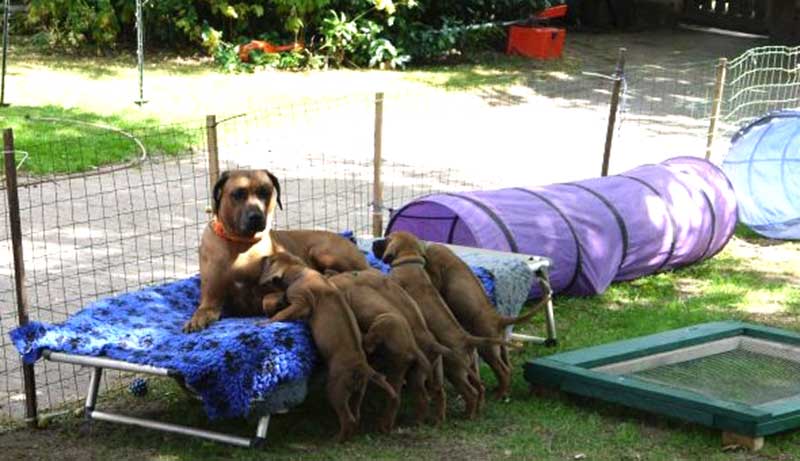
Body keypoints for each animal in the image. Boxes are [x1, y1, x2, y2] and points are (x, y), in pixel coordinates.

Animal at [183, 169, 368, 330]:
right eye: (238, 194)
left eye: (265, 192)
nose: (256, 216)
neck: (241, 245)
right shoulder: (211, 299)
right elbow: (204, 309)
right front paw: (196, 320)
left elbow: (267, 298)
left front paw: (280, 303)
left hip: (322, 251)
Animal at [260, 252, 398, 442]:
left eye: (270, 259)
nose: (262, 258)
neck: (300, 272)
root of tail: (362, 367)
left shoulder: (301, 303)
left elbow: (282, 313)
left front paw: (266, 322)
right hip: (358, 392)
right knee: (356, 416)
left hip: (336, 390)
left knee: (348, 419)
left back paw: (337, 439)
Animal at [376, 232, 510, 418]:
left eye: (386, 238)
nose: (374, 243)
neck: (409, 262)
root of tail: (466, 339)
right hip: (469, 367)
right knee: (479, 387)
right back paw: (476, 409)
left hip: (455, 371)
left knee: (472, 390)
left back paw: (469, 414)